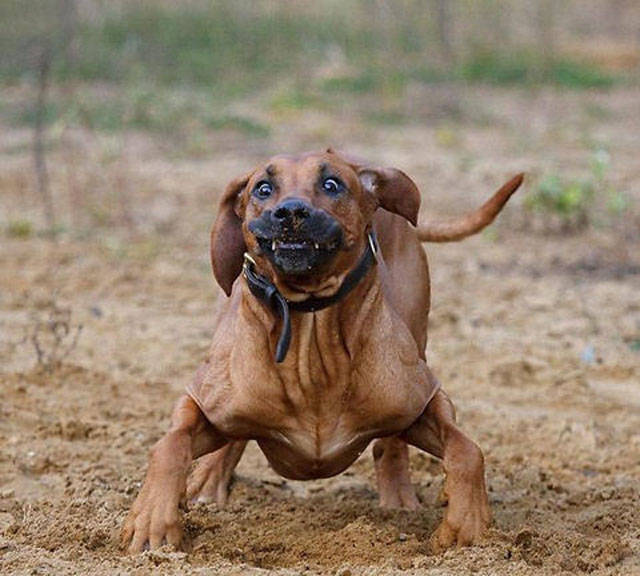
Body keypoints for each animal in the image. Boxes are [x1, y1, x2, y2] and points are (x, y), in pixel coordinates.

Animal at [121, 148, 524, 552]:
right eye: (263, 188)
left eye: (332, 184)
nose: (290, 212)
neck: (310, 332)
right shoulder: (196, 398)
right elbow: (169, 444)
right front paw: (152, 520)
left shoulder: (427, 397)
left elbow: (466, 449)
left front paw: (468, 526)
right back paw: (207, 485)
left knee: (392, 444)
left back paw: (399, 499)